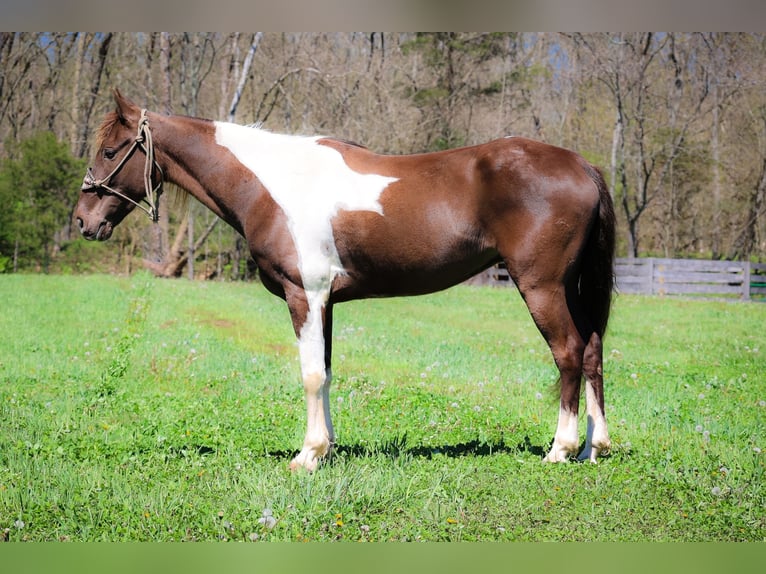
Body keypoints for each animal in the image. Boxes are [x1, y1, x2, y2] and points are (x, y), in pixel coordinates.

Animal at [73, 91, 616, 472]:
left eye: (111, 151)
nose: (82, 220)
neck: (273, 184)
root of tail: (583, 165)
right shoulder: (326, 302)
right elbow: (328, 373)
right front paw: (326, 449)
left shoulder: (305, 295)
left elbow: (311, 374)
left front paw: (307, 455)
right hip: (569, 288)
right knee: (591, 350)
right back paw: (595, 447)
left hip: (541, 287)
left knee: (568, 352)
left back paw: (561, 449)